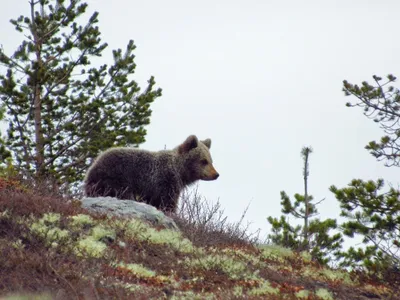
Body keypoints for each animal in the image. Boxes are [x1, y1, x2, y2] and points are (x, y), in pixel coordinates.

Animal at [82, 135, 219, 212]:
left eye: (211, 160)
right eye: (204, 161)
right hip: (115, 178)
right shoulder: (164, 181)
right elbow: (167, 203)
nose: (216, 174)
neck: (180, 172)